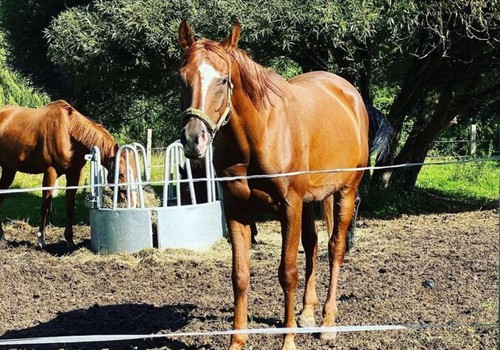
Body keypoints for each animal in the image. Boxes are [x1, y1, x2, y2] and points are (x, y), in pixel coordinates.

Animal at [0, 100, 137, 249]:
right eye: (121, 173)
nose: (133, 201)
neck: (68, 132)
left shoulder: (74, 174)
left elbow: (70, 207)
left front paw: (70, 241)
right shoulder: (50, 173)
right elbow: (46, 208)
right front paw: (41, 240)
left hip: (9, 170)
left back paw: (2, 235)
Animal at [178, 20, 392, 348]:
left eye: (223, 80)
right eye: (182, 77)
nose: (193, 139)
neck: (258, 134)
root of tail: (350, 94)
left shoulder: (289, 206)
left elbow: (288, 272)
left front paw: (288, 340)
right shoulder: (238, 209)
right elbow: (240, 275)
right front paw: (237, 341)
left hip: (345, 192)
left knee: (335, 248)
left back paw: (327, 323)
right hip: (311, 201)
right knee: (313, 245)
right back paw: (307, 314)